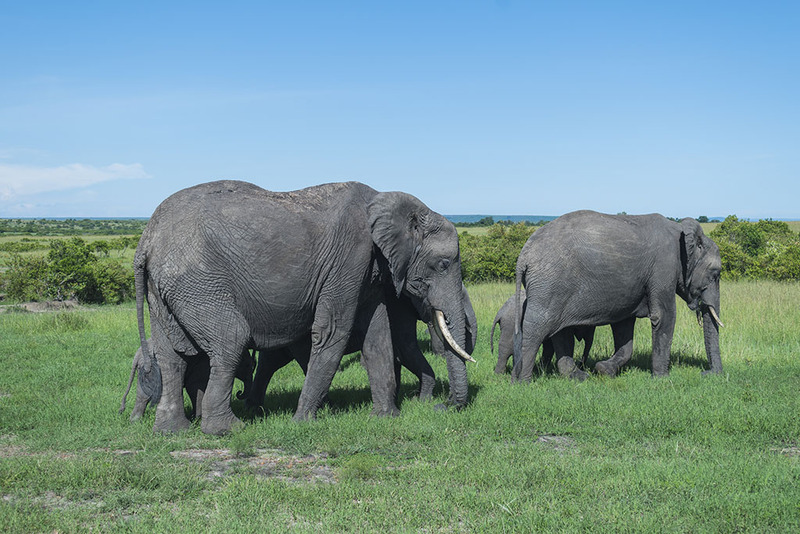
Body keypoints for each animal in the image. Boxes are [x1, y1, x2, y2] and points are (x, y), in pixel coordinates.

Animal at [119, 341, 255, 421]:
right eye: (249, 365)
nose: (239, 393)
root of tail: (137, 355)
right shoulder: (203, 366)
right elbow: (195, 387)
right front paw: (197, 419)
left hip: (145, 370)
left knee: (143, 395)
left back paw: (134, 421)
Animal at [242, 284, 478, 411]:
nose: (444, 404)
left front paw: (402, 397)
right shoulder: (398, 306)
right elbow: (406, 348)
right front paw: (420, 399)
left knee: (271, 362)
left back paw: (254, 407)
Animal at [512, 210, 723, 382]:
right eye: (715, 274)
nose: (706, 374)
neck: (682, 232)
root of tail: (524, 255)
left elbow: (624, 326)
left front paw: (604, 370)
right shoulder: (664, 266)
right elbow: (663, 316)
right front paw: (662, 379)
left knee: (560, 332)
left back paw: (578, 376)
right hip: (548, 285)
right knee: (537, 328)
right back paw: (524, 382)